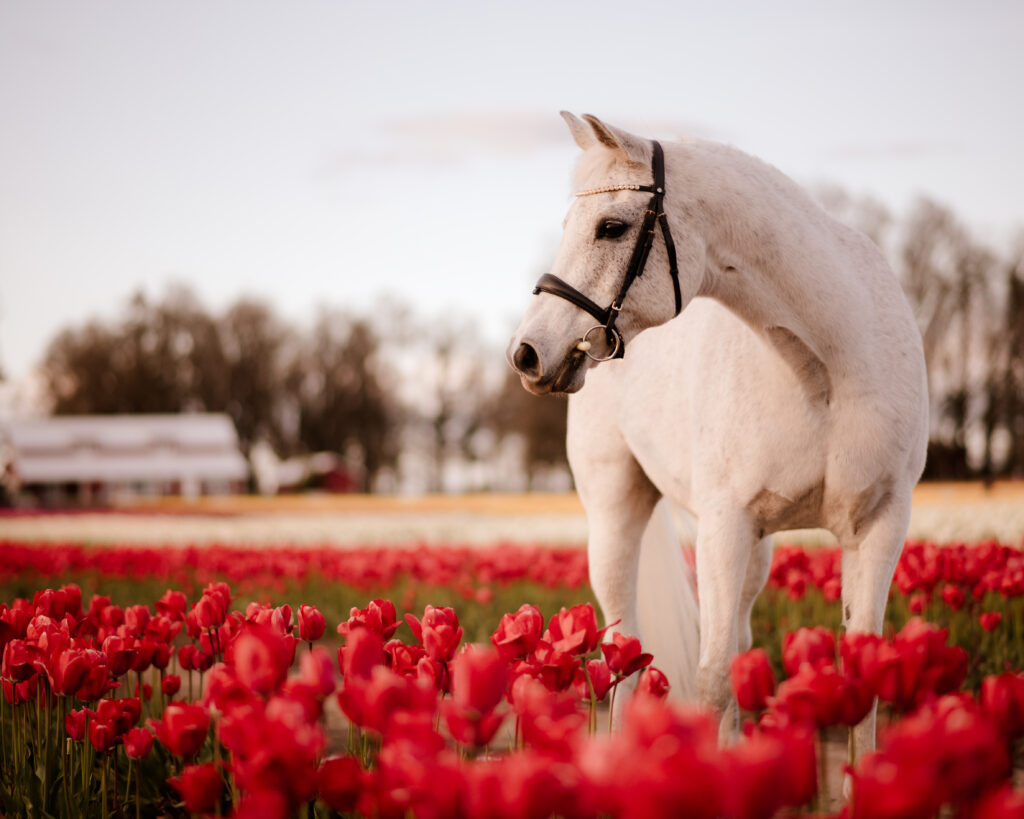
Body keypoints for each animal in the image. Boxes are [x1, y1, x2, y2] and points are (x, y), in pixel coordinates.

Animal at [509, 113, 929, 761]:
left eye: (611, 227)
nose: (527, 353)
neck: (829, 369)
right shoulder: (724, 524)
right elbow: (709, 682)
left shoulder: (880, 524)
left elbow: (860, 676)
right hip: (618, 516)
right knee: (622, 656)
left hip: (754, 551)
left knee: (736, 645)